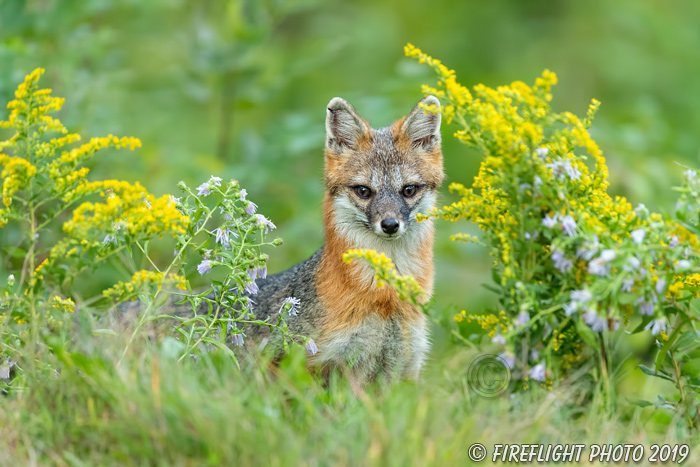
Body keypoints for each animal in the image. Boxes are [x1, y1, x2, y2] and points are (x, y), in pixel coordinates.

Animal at [247, 96, 442, 388]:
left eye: (408, 190)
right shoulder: (324, 363)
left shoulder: (402, 365)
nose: (390, 225)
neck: (385, 296)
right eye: (363, 191)